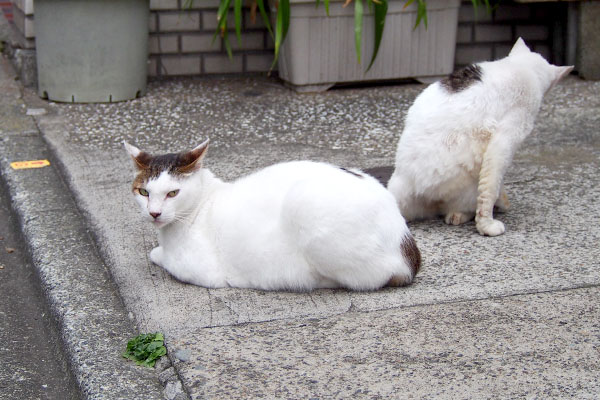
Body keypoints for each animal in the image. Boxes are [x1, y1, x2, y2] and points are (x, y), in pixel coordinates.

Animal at [124, 140, 420, 290]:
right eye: (143, 192)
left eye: (173, 193)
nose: (154, 213)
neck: (201, 203)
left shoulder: (200, 271)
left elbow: (160, 256)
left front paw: (157, 252)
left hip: (305, 202)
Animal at [386, 36, 576, 238]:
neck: (521, 67)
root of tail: (413, 184)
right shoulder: (506, 137)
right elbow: (489, 189)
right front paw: (487, 224)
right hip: (468, 184)